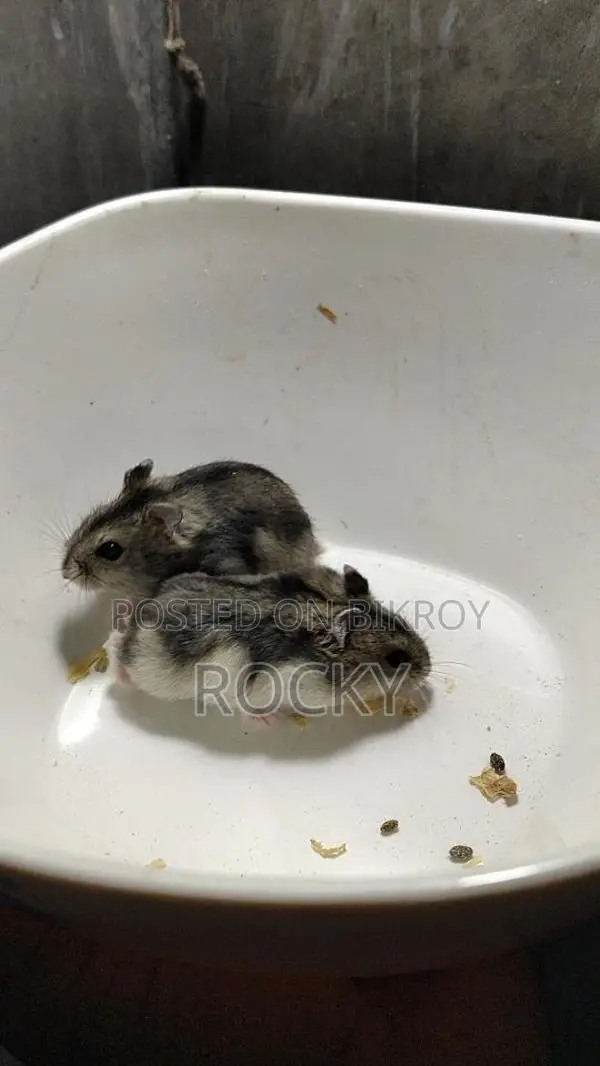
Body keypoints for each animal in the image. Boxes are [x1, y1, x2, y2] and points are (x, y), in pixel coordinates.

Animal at [106, 563, 431, 720]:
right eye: (395, 660)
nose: (428, 669)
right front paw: (270, 720)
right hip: (151, 673)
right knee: (120, 658)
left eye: (404, 622)